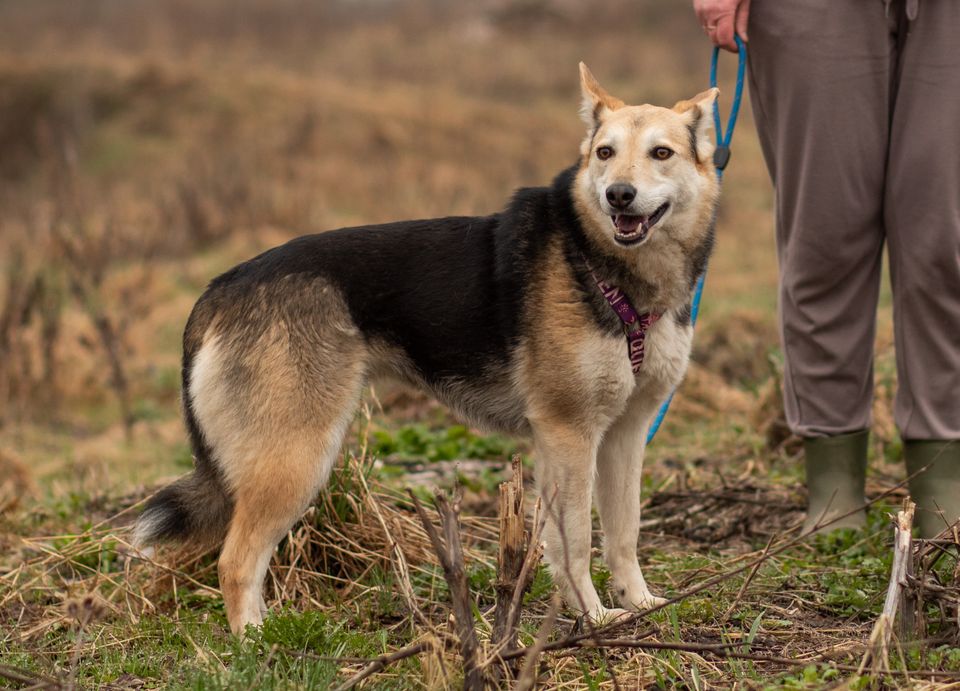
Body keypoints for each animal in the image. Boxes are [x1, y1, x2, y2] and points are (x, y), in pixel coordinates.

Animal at [137, 65, 720, 632]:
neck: (601, 264)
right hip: (297, 457)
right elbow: (573, 541)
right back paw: (256, 642)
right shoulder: (568, 434)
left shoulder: (625, 433)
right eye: (605, 153)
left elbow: (623, 533)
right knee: (235, 561)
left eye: (661, 153)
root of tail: (222, 286)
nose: (618, 195)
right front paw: (592, 616)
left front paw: (639, 603)